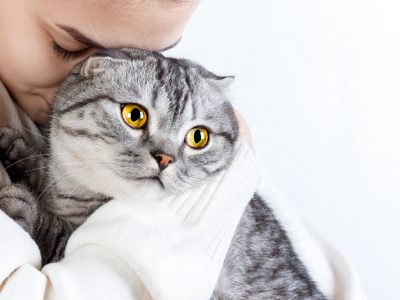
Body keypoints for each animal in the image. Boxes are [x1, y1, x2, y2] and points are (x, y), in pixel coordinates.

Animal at [0, 48, 326, 298]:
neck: (76, 192)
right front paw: (17, 151)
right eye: (134, 115)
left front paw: (24, 206)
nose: (166, 158)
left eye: (198, 137)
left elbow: (59, 234)